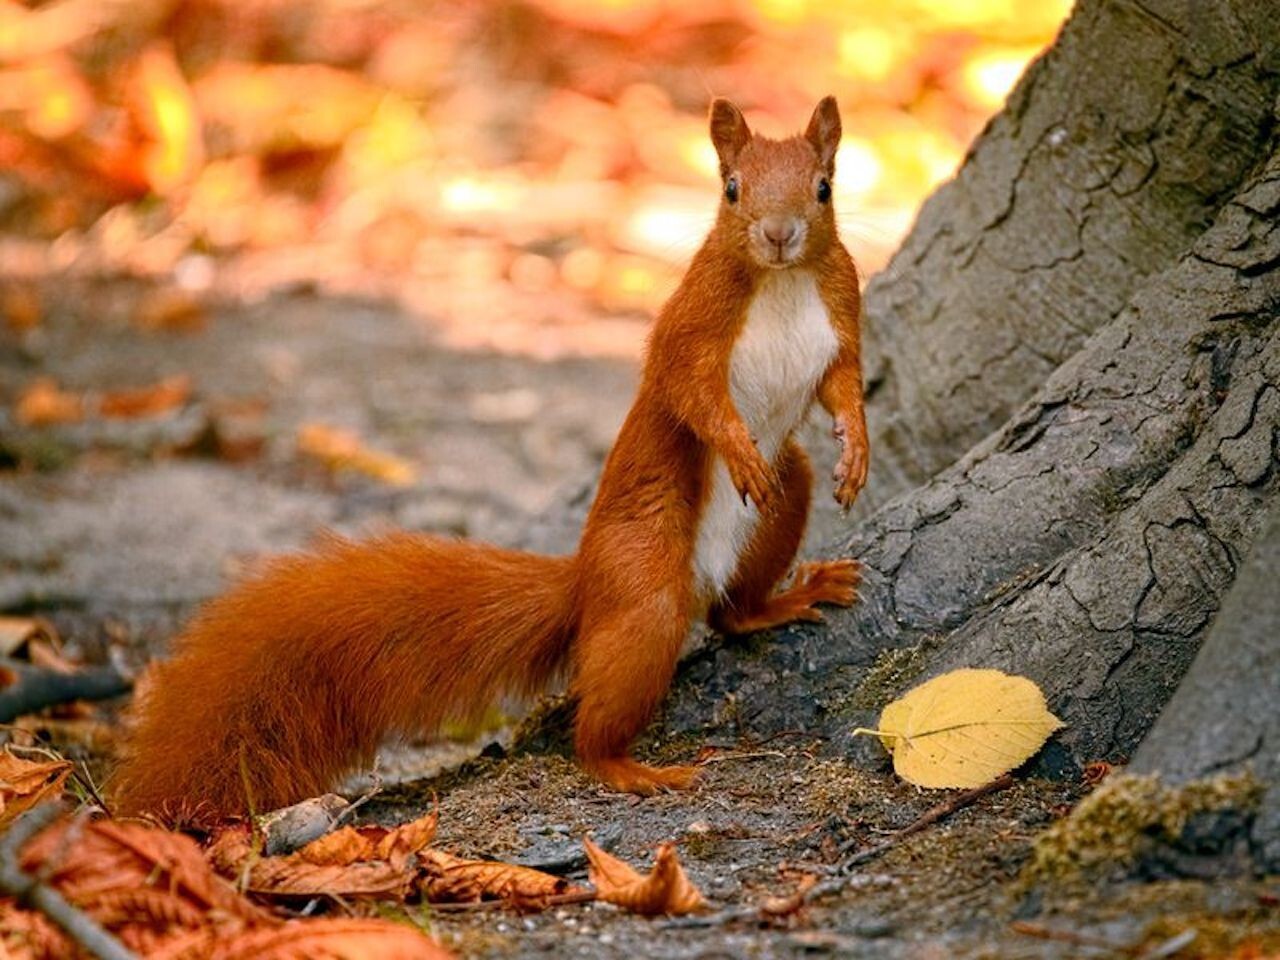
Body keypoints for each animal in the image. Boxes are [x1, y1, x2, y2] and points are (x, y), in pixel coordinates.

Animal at [111, 96, 869, 825]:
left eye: (824, 187)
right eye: (732, 189)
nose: (779, 234)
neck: (782, 283)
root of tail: (584, 582)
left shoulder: (840, 310)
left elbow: (843, 385)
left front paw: (856, 450)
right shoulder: (689, 327)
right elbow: (692, 395)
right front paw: (740, 450)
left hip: (780, 506)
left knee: (736, 606)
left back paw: (786, 598)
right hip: (644, 582)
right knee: (604, 710)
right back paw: (625, 766)